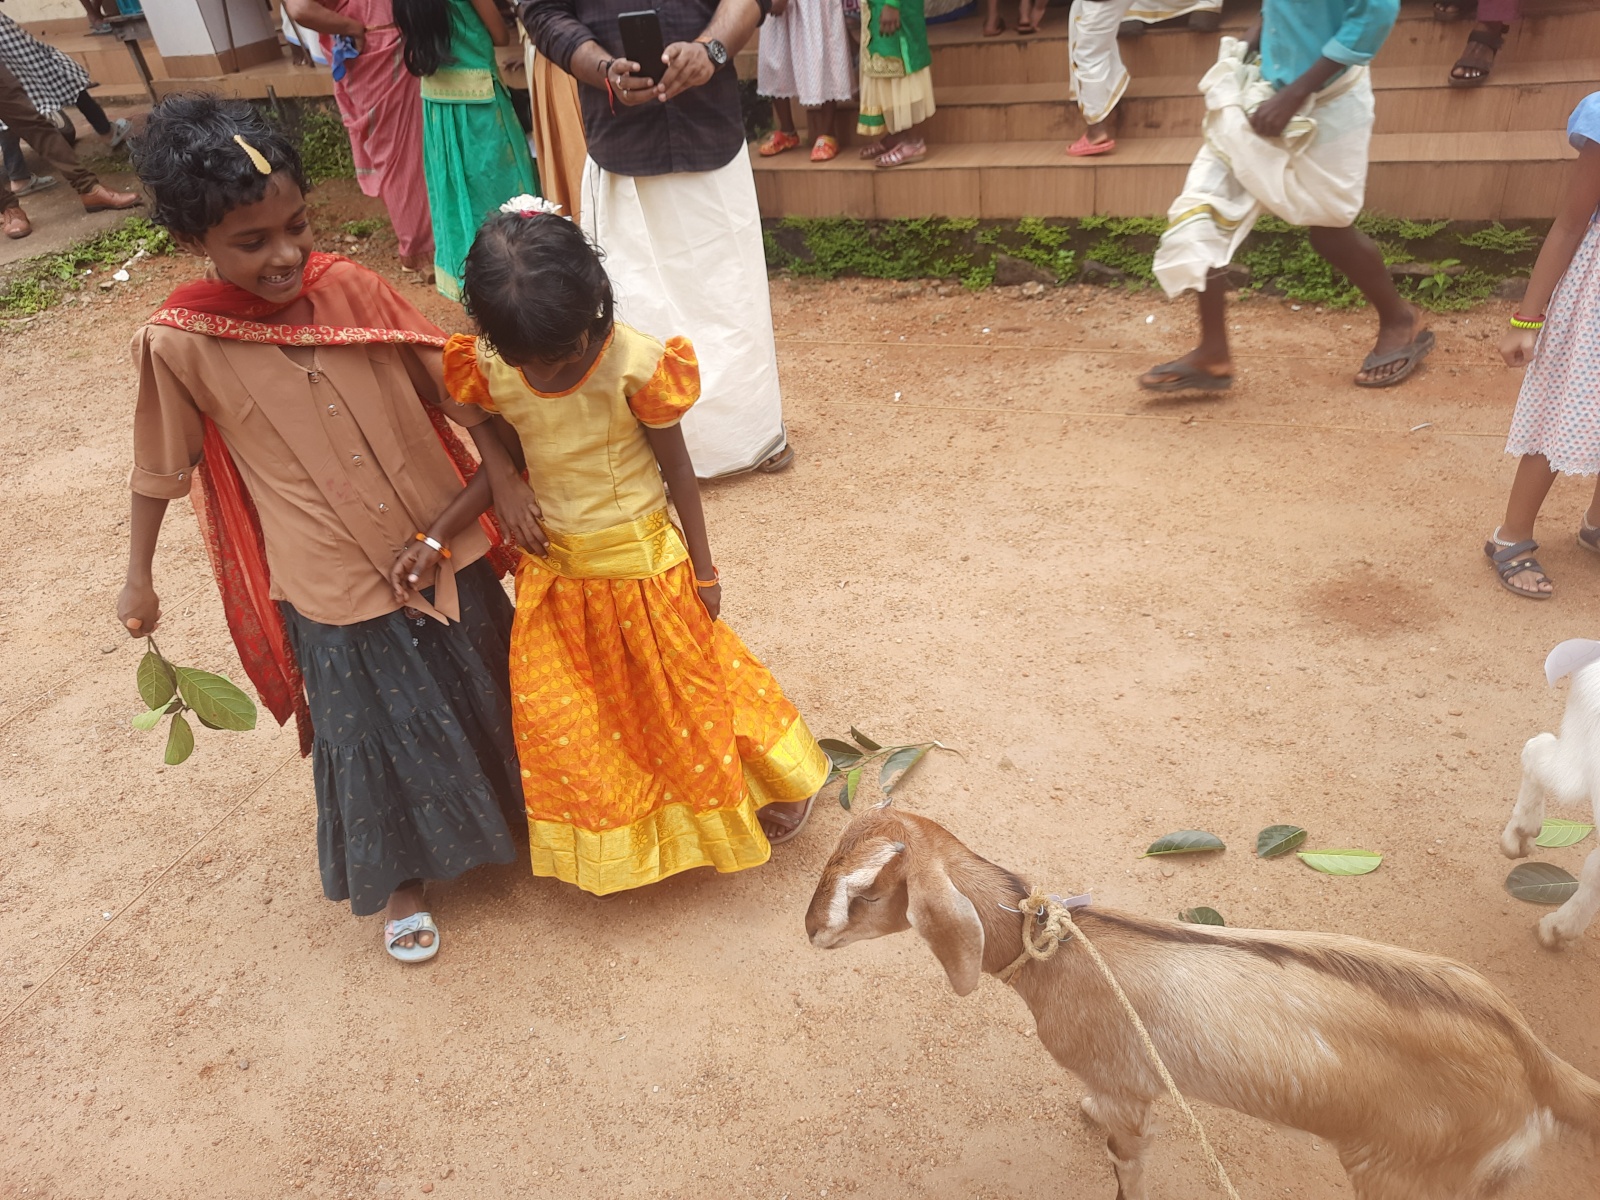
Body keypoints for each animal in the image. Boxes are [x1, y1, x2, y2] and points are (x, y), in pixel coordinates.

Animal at [806, 809, 1600, 1200]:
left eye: (869, 893)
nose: (811, 931)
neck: (1065, 957)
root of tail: (1533, 1057)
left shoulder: (1128, 1088)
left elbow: (1127, 1164)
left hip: (1399, 1172)